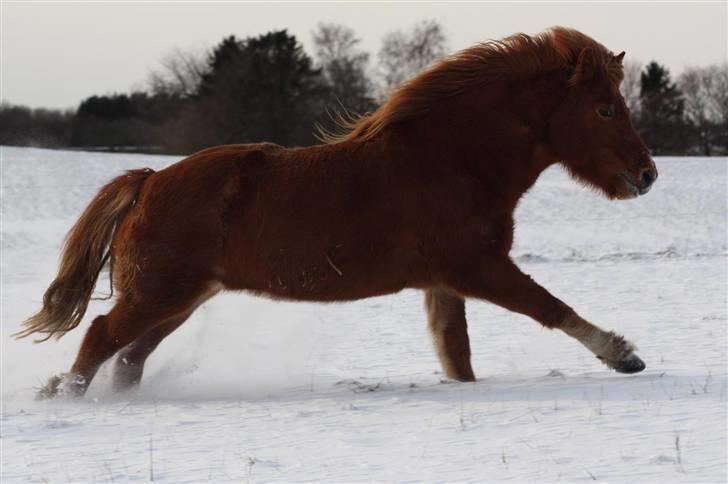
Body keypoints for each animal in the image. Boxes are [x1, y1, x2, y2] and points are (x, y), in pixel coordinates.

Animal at [18, 26, 656, 398]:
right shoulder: (479, 268)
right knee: (100, 337)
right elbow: (550, 308)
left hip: (179, 299)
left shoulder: (445, 282)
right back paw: (67, 396)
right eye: (604, 109)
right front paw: (624, 355)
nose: (647, 174)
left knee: (128, 357)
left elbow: (458, 354)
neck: (450, 158)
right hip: (158, 296)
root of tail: (147, 182)